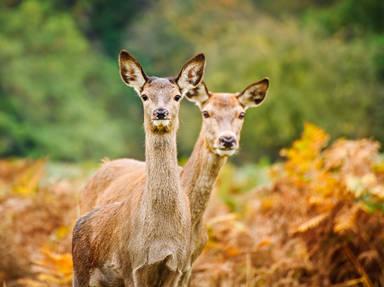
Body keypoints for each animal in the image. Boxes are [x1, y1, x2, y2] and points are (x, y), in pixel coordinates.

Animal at [70, 50, 206, 286]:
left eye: (177, 96)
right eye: (144, 96)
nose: (160, 113)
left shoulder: (178, 266)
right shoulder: (132, 266)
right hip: (81, 272)